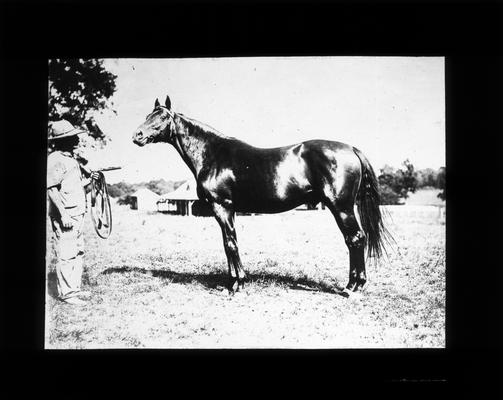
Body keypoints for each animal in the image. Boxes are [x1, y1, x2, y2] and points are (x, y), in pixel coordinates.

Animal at [132, 96, 392, 296]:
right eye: (147, 114)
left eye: (162, 117)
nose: (137, 135)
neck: (212, 155)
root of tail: (351, 149)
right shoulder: (230, 210)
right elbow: (231, 243)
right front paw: (235, 281)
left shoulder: (222, 207)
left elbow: (230, 244)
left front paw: (235, 285)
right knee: (353, 239)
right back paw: (353, 284)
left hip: (341, 207)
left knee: (355, 238)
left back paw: (352, 287)